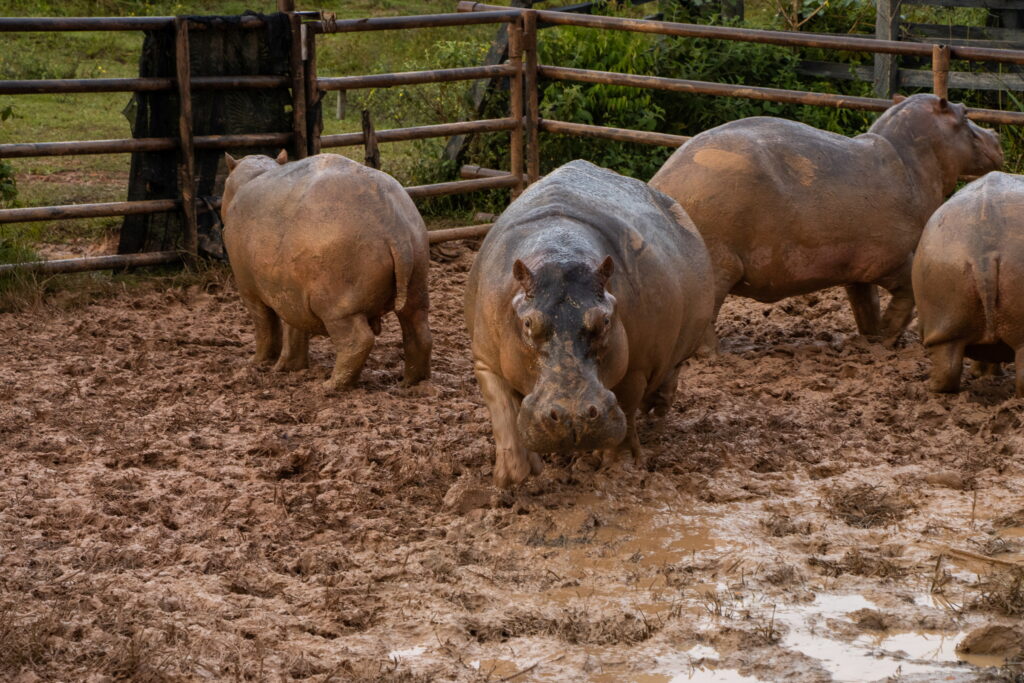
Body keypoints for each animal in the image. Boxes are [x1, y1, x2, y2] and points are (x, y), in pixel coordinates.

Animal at [222, 152, 430, 393]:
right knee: (419, 332)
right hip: (416, 284)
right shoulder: (291, 294)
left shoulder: (250, 291)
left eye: (224, 184)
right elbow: (294, 330)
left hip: (337, 306)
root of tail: (394, 228)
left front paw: (257, 363)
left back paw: (328, 386)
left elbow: (266, 327)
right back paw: (410, 383)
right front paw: (288, 367)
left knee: (357, 341)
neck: (252, 176)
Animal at [464, 160, 712, 489]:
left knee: (668, 375)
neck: (559, 253)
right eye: (528, 323)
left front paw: (619, 468)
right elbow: (503, 412)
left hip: (677, 349)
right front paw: (513, 477)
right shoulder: (486, 360)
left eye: (605, 319)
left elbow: (626, 409)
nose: (573, 416)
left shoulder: (636, 367)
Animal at [647, 93, 999, 348]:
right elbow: (906, 295)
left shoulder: (858, 269)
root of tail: (659, 184)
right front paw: (887, 339)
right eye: (964, 113)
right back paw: (715, 353)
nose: (996, 133)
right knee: (705, 318)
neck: (911, 159)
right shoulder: (893, 259)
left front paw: (870, 340)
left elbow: (865, 304)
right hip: (718, 265)